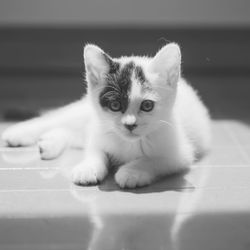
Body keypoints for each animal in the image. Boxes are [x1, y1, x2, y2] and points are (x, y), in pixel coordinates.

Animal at [1, 42, 211, 188]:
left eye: (147, 105)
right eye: (115, 105)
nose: (130, 124)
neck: (128, 143)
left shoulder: (180, 153)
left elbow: (155, 159)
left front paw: (133, 171)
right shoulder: (99, 132)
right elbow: (95, 150)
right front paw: (88, 167)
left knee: (70, 133)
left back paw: (48, 144)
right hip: (84, 112)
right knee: (55, 119)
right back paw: (18, 133)